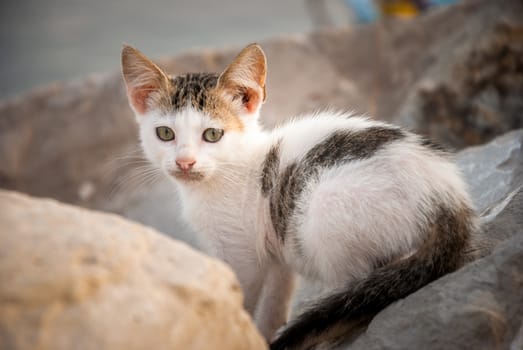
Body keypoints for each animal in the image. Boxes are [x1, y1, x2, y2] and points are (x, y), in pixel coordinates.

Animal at [122, 43, 478, 350]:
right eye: (165, 133)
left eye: (212, 135)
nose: (185, 162)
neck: (225, 174)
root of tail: (447, 198)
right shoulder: (274, 250)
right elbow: (275, 300)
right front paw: (263, 333)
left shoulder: (241, 254)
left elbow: (242, 299)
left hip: (324, 213)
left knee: (356, 290)